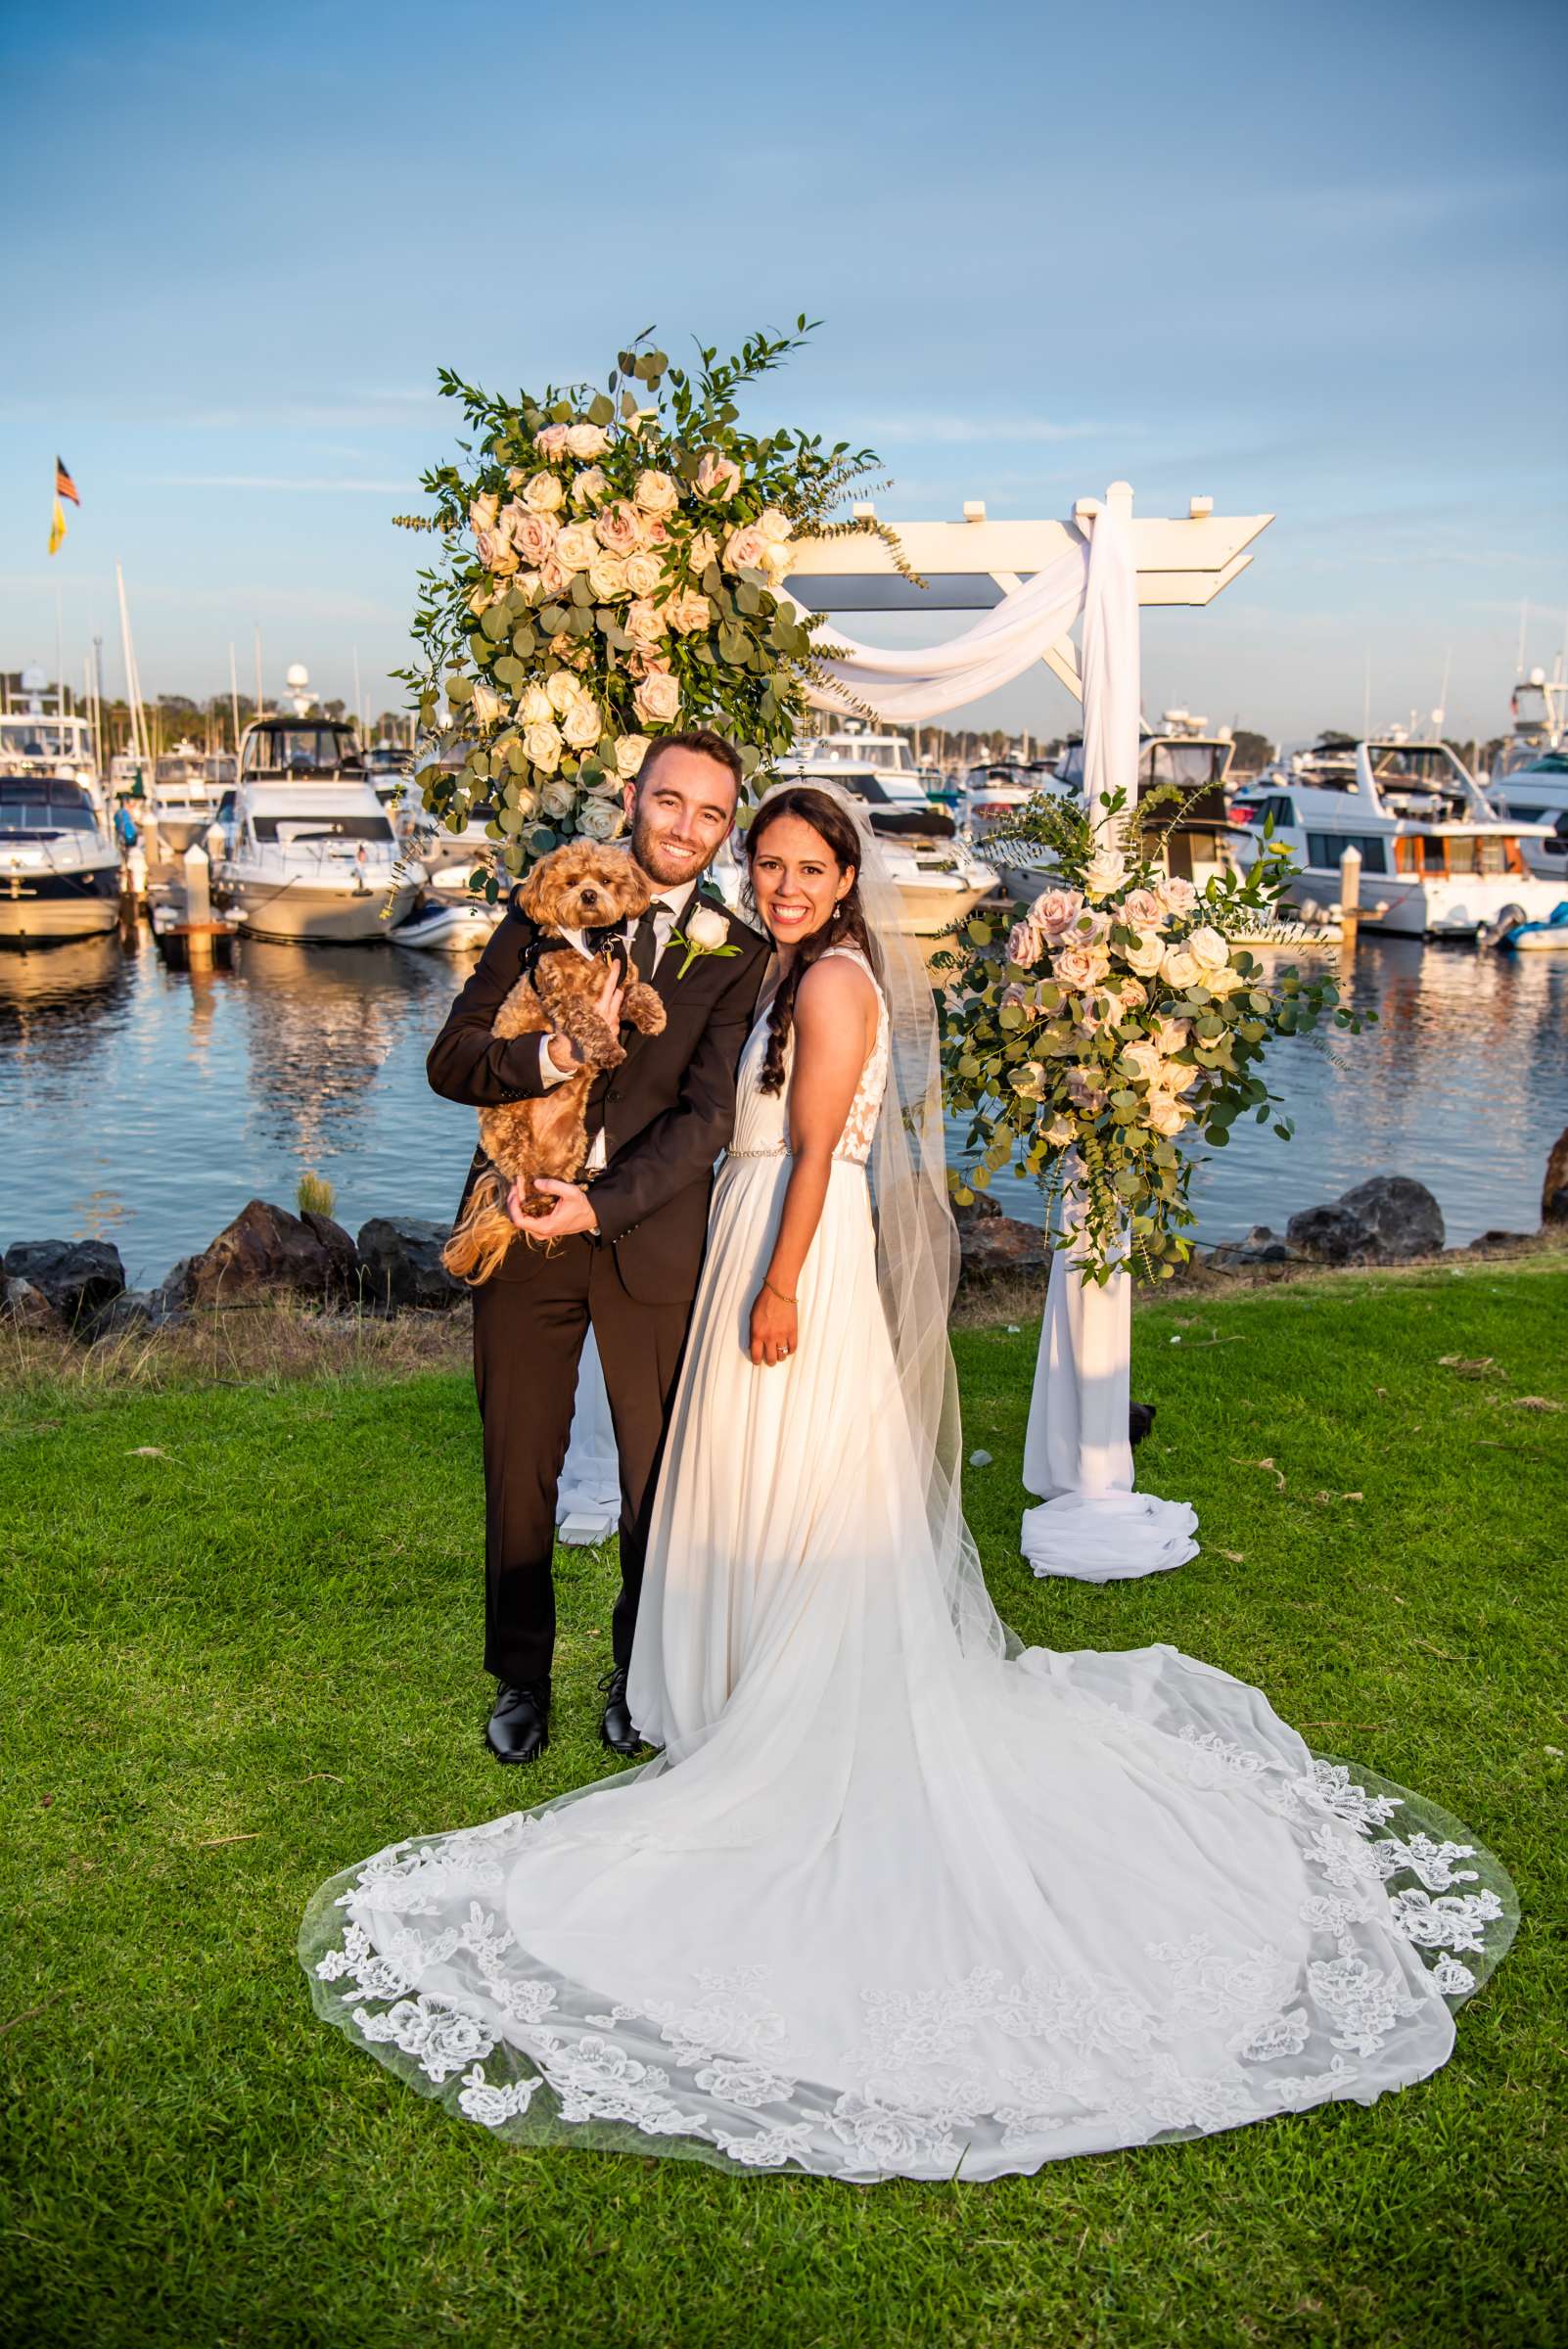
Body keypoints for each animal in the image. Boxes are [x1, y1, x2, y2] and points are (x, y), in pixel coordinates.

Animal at [438, 846, 667, 1287]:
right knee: (523, 1177)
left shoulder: (621, 979)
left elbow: (638, 988)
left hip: (570, 1145)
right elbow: (589, 1020)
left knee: (550, 1179)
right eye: (572, 882)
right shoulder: (563, 995)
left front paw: (653, 1014)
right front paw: (608, 1049)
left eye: (606, 880)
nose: (590, 895)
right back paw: (534, 1205)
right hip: (510, 1131)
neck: (592, 943)